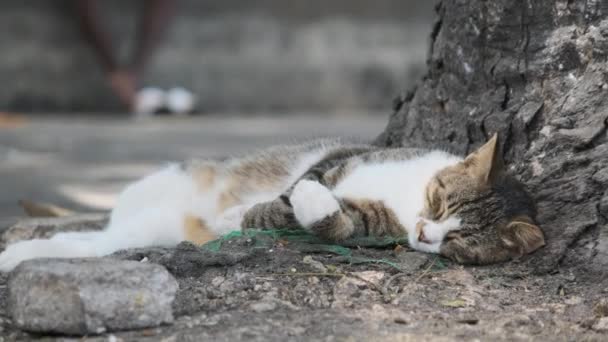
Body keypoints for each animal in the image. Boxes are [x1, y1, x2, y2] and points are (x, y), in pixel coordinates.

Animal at [0, 134, 544, 272]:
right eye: (439, 202)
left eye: (458, 240)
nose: (426, 233)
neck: (406, 198)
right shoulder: (342, 161)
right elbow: (303, 184)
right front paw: (274, 204)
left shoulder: (370, 224)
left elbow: (339, 223)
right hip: (157, 188)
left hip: (142, 232)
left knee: (87, 243)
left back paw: (17, 256)